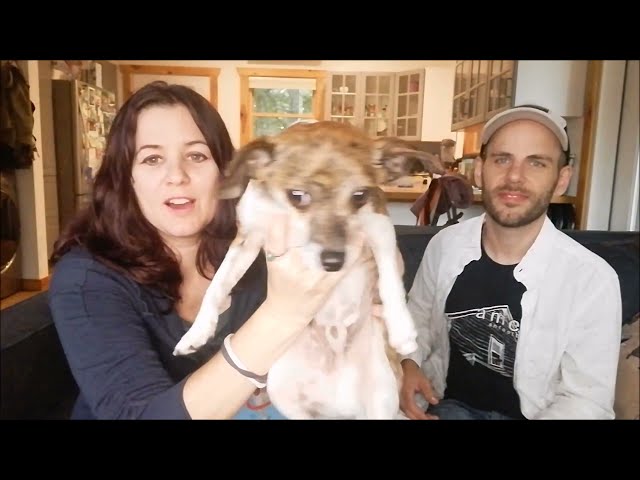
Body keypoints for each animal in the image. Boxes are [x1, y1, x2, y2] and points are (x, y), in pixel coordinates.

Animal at [173, 120, 445, 419]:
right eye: (297, 196)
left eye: (359, 196)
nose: (334, 262)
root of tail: (340, 407)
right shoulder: (247, 238)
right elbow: (217, 285)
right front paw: (196, 333)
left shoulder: (379, 226)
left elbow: (390, 280)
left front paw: (402, 328)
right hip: (282, 391)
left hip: (382, 400)